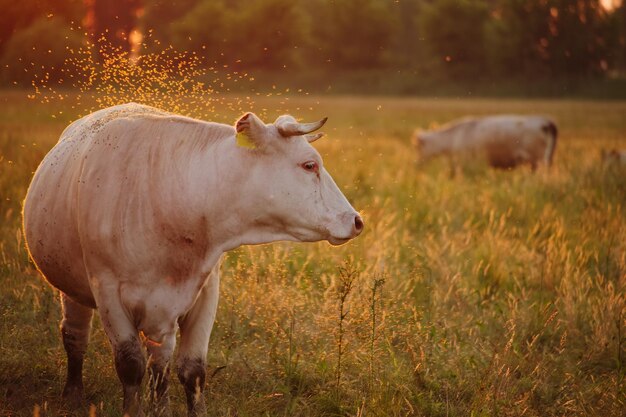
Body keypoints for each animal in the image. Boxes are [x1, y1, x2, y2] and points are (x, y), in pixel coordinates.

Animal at [22, 103, 364, 416]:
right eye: (309, 165)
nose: (356, 220)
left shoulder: (205, 292)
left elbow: (192, 369)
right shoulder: (107, 291)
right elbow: (130, 365)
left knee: (158, 362)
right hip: (73, 290)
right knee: (75, 336)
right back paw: (73, 393)